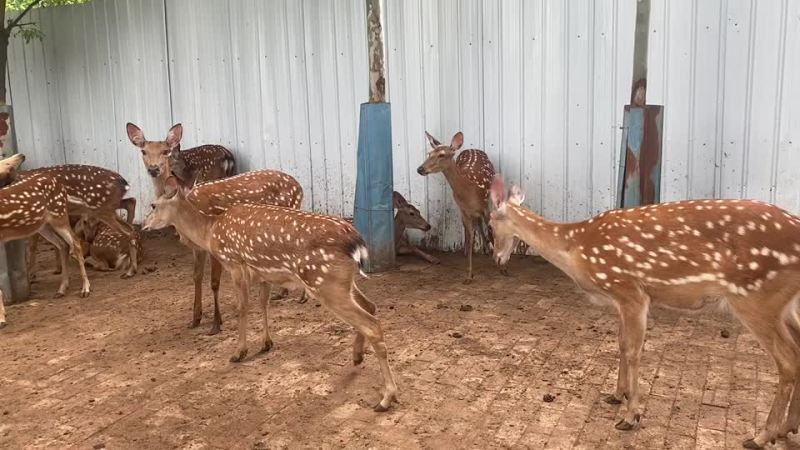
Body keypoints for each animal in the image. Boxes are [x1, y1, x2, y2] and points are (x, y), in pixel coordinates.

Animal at [0, 156, 90, 298]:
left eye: (8, 165)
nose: (21, 156)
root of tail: (61, 186)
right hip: (43, 225)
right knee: (62, 244)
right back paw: (61, 289)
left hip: (59, 214)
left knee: (75, 242)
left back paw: (85, 289)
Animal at [143, 176, 398, 411]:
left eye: (153, 205)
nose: (145, 226)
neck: (210, 231)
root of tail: (356, 241)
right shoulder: (263, 275)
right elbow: (263, 304)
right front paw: (266, 343)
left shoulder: (235, 264)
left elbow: (243, 308)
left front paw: (239, 352)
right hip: (342, 281)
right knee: (370, 306)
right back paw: (357, 356)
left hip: (325, 282)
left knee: (372, 324)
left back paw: (386, 398)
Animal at [417, 131, 503, 282]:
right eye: (429, 153)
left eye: (442, 155)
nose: (420, 169)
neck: (469, 190)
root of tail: (472, 149)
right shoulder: (464, 210)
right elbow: (470, 236)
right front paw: (469, 274)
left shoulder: (485, 206)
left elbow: (491, 230)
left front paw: (501, 268)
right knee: (472, 227)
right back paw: (472, 251)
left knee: (481, 224)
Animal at [488, 175, 800, 449]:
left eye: (491, 222)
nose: (496, 258)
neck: (576, 249)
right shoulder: (619, 299)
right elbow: (621, 344)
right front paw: (617, 395)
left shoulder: (631, 291)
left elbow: (634, 351)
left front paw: (631, 416)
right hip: (783, 305)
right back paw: (787, 428)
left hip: (755, 297)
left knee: (787, 360)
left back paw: (761, 436)